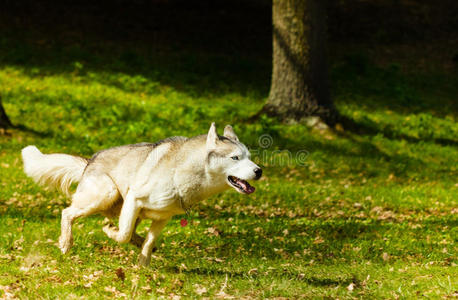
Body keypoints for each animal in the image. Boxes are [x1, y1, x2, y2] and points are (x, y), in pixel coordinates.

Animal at [21, 123, 262, 266]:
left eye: (249, 157)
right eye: (235, 158)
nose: (259, 171)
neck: (184, 173)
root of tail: (90, 161)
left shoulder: (163, 218)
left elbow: (147, 241)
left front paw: (143, 267)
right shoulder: (134, 199)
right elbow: (123, 234)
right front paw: (110, 233)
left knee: (135, 234)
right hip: (107, 194)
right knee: (67, 213)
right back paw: (66, 243)